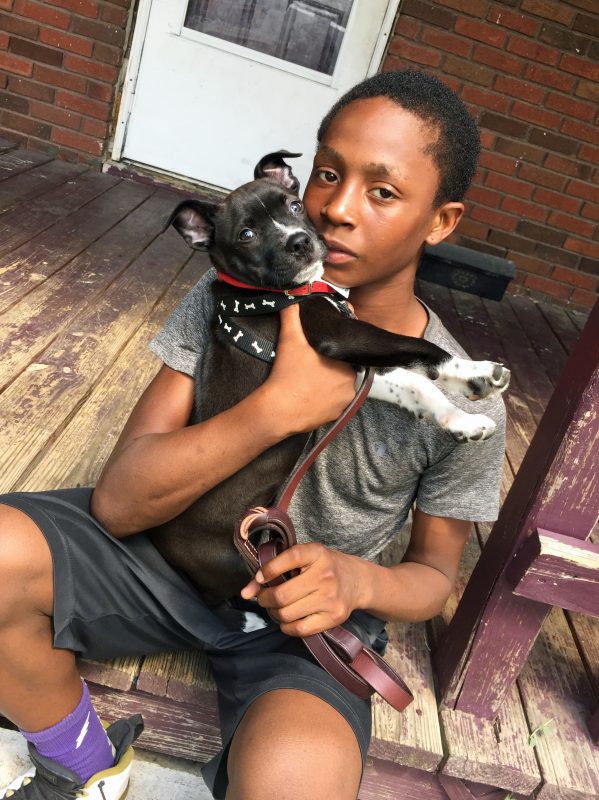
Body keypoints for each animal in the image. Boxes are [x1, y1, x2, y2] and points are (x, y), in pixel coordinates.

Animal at [151, 152, 510, 608]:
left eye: (294, 205)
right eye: (246, 234)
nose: (300, 241)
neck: (276, 293)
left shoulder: (355, 372)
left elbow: (416, 384)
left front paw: (463, 411)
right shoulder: (338, 334)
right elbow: (417, 346)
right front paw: (474, 376)